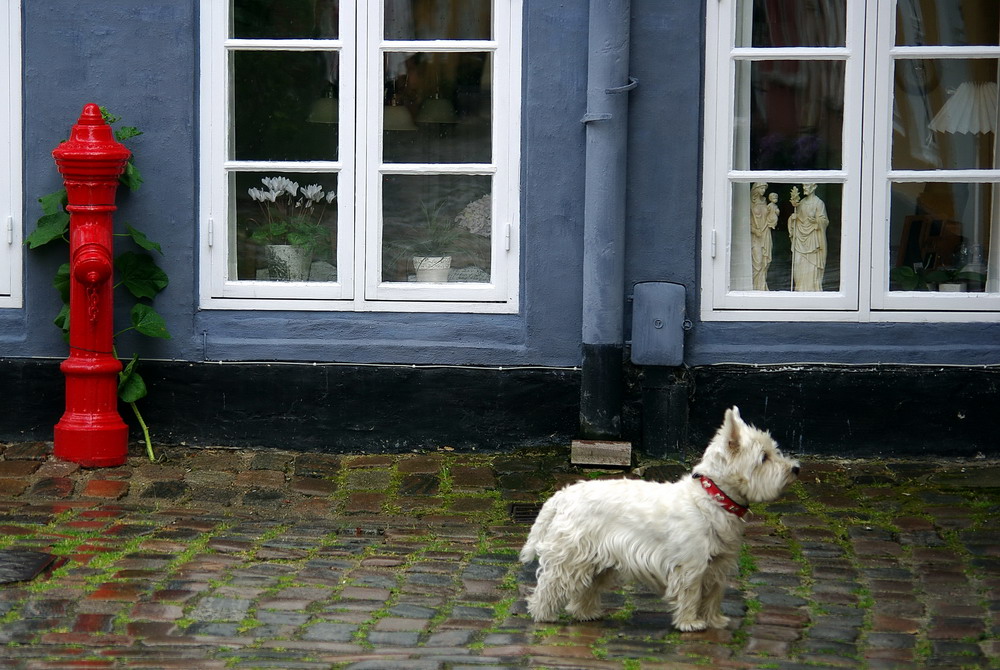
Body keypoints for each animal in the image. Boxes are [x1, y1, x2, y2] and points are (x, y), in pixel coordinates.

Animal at [520, 406, 800, 632]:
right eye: (763, 457)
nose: (795, 468)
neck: (713, 499)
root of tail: (563, 495)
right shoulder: (691, 564)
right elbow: (691, 594)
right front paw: (690, 623)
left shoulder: (719, 563)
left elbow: (714, 595)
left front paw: (715, 621)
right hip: (571, 555)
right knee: (552, 584)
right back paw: (543, 615)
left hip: (599, 559)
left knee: (585, 588)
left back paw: (587, 613)